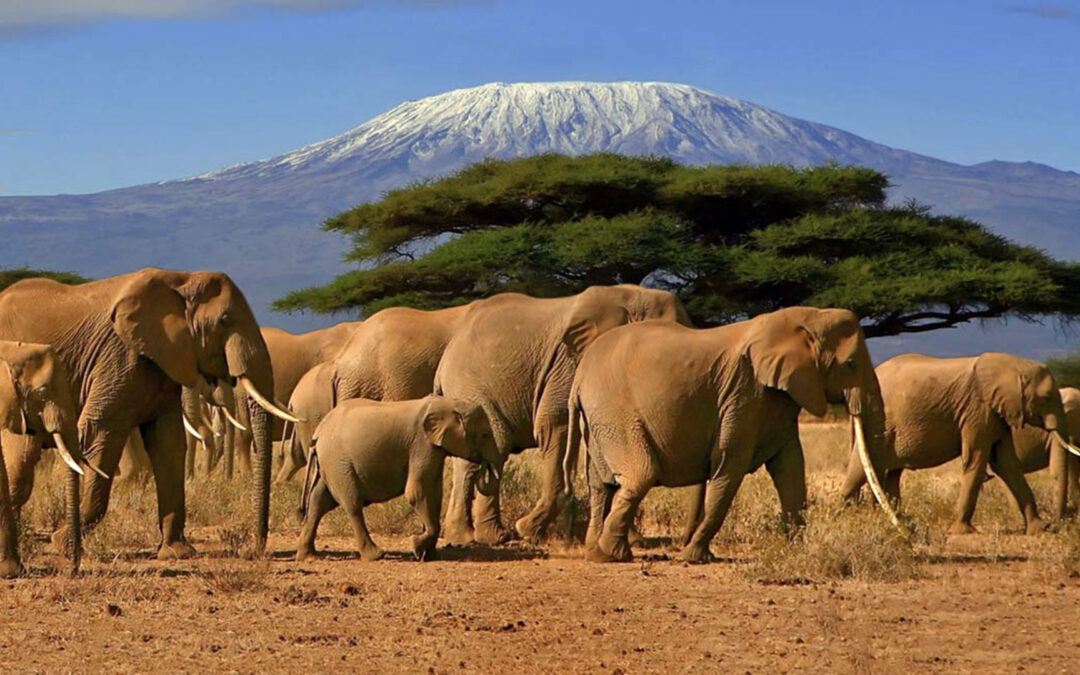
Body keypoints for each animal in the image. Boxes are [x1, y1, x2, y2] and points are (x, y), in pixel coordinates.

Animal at [295, 395, 500, 562]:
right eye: (485, 435)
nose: (484, 464)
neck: (448, 403)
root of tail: (318, 433)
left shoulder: (434, 449)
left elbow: (435, 494)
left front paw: (430, 555)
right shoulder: (422, 445)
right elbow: (417, 492)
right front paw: (416, 546)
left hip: (330, 464)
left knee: (318, 502)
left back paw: (308, 556)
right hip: (339, 463)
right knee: (352, 505)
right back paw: (376, 555)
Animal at [435, 284, 691, 546]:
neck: (634, 296)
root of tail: (446, 358)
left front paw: (633, 540)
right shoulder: (569, 365)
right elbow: (556, 425)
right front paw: (527, 530)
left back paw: (480, 536)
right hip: (468, 387)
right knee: (489, 448)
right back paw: (480, 537)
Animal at [564, 307, 898, 563]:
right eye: (851, 365)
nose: (902, 534)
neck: (806, 317)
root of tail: (579, 377)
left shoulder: (777, 398)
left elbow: (790, 467)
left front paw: (795, 551)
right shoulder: (744, 393)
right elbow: (730, 466)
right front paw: (694, 558)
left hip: (598, 419)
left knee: (601, 483)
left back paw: (600, 553)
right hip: (614, 412)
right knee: (639, 475)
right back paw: (610, 554)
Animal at [840, 353, 1076, 535]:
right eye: (1046, 398)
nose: (1057, 524)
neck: (1010, 364)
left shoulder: (995, 414)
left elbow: (1006, 464)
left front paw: (1038, 529)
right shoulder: (978, 410)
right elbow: (976, 459)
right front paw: (965, 532)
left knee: (890, 473)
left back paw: (895, 519)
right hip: (878, 421)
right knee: (862, 466)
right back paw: (845, 516)